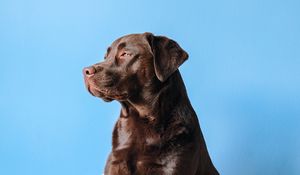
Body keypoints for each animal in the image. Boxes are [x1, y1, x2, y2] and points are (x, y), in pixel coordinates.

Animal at [83, 32, 219, 175]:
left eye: (125, 54)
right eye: (105, 56)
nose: (85, 71)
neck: (143, 119)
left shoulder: (171, 166)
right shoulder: (116, 164)